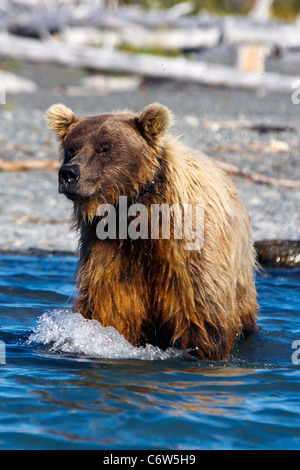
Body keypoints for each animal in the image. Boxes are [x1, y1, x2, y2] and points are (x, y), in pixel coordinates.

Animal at [45, 103, 256, 360]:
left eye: (104, 147)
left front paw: (207, 349)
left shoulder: (190, 252)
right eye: (72, 147)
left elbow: (205, 312)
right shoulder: (109, 251)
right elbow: (109, 306)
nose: (68, 173)